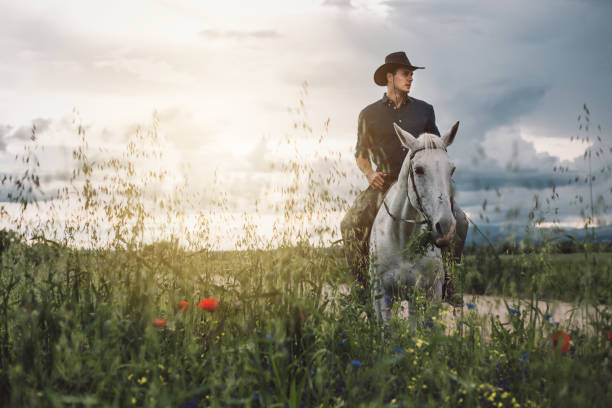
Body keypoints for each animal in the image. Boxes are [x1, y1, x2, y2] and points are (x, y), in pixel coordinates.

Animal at [368, 121, 460, 322]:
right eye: (418, 169)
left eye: (452, 170)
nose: (446, 227)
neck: (402, 237)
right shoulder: (382, 296)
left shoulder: (429, 295)